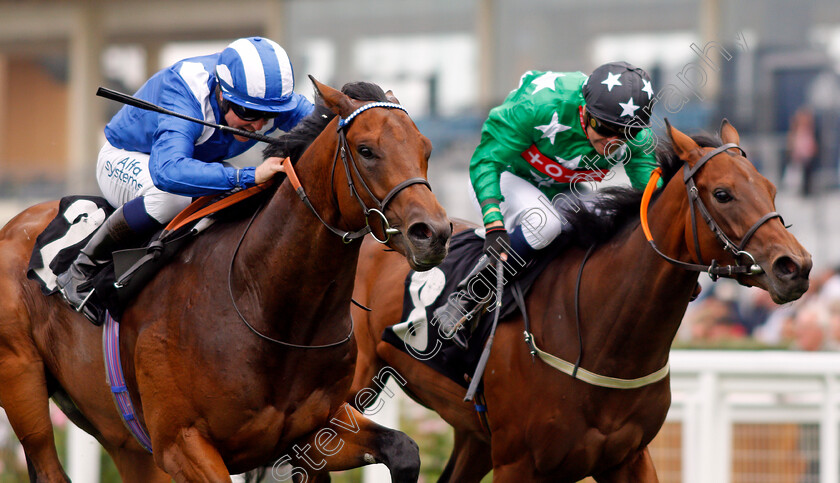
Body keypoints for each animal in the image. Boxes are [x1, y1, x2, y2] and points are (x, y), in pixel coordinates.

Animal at [0, 77, 452, 482]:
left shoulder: (313, 430)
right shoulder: (182, 444)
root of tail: (16, 223)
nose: (433, 232)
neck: (265, 302)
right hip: (25, 387)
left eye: (426, 149)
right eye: (366, 150)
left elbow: (404, 450)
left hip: (124, 438)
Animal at [350, 119, 812, 482]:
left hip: (474, 436)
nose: (796, 266)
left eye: (771, 188)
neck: (602, 336)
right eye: (722, 194)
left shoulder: (627, 458)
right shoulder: (518, 463)